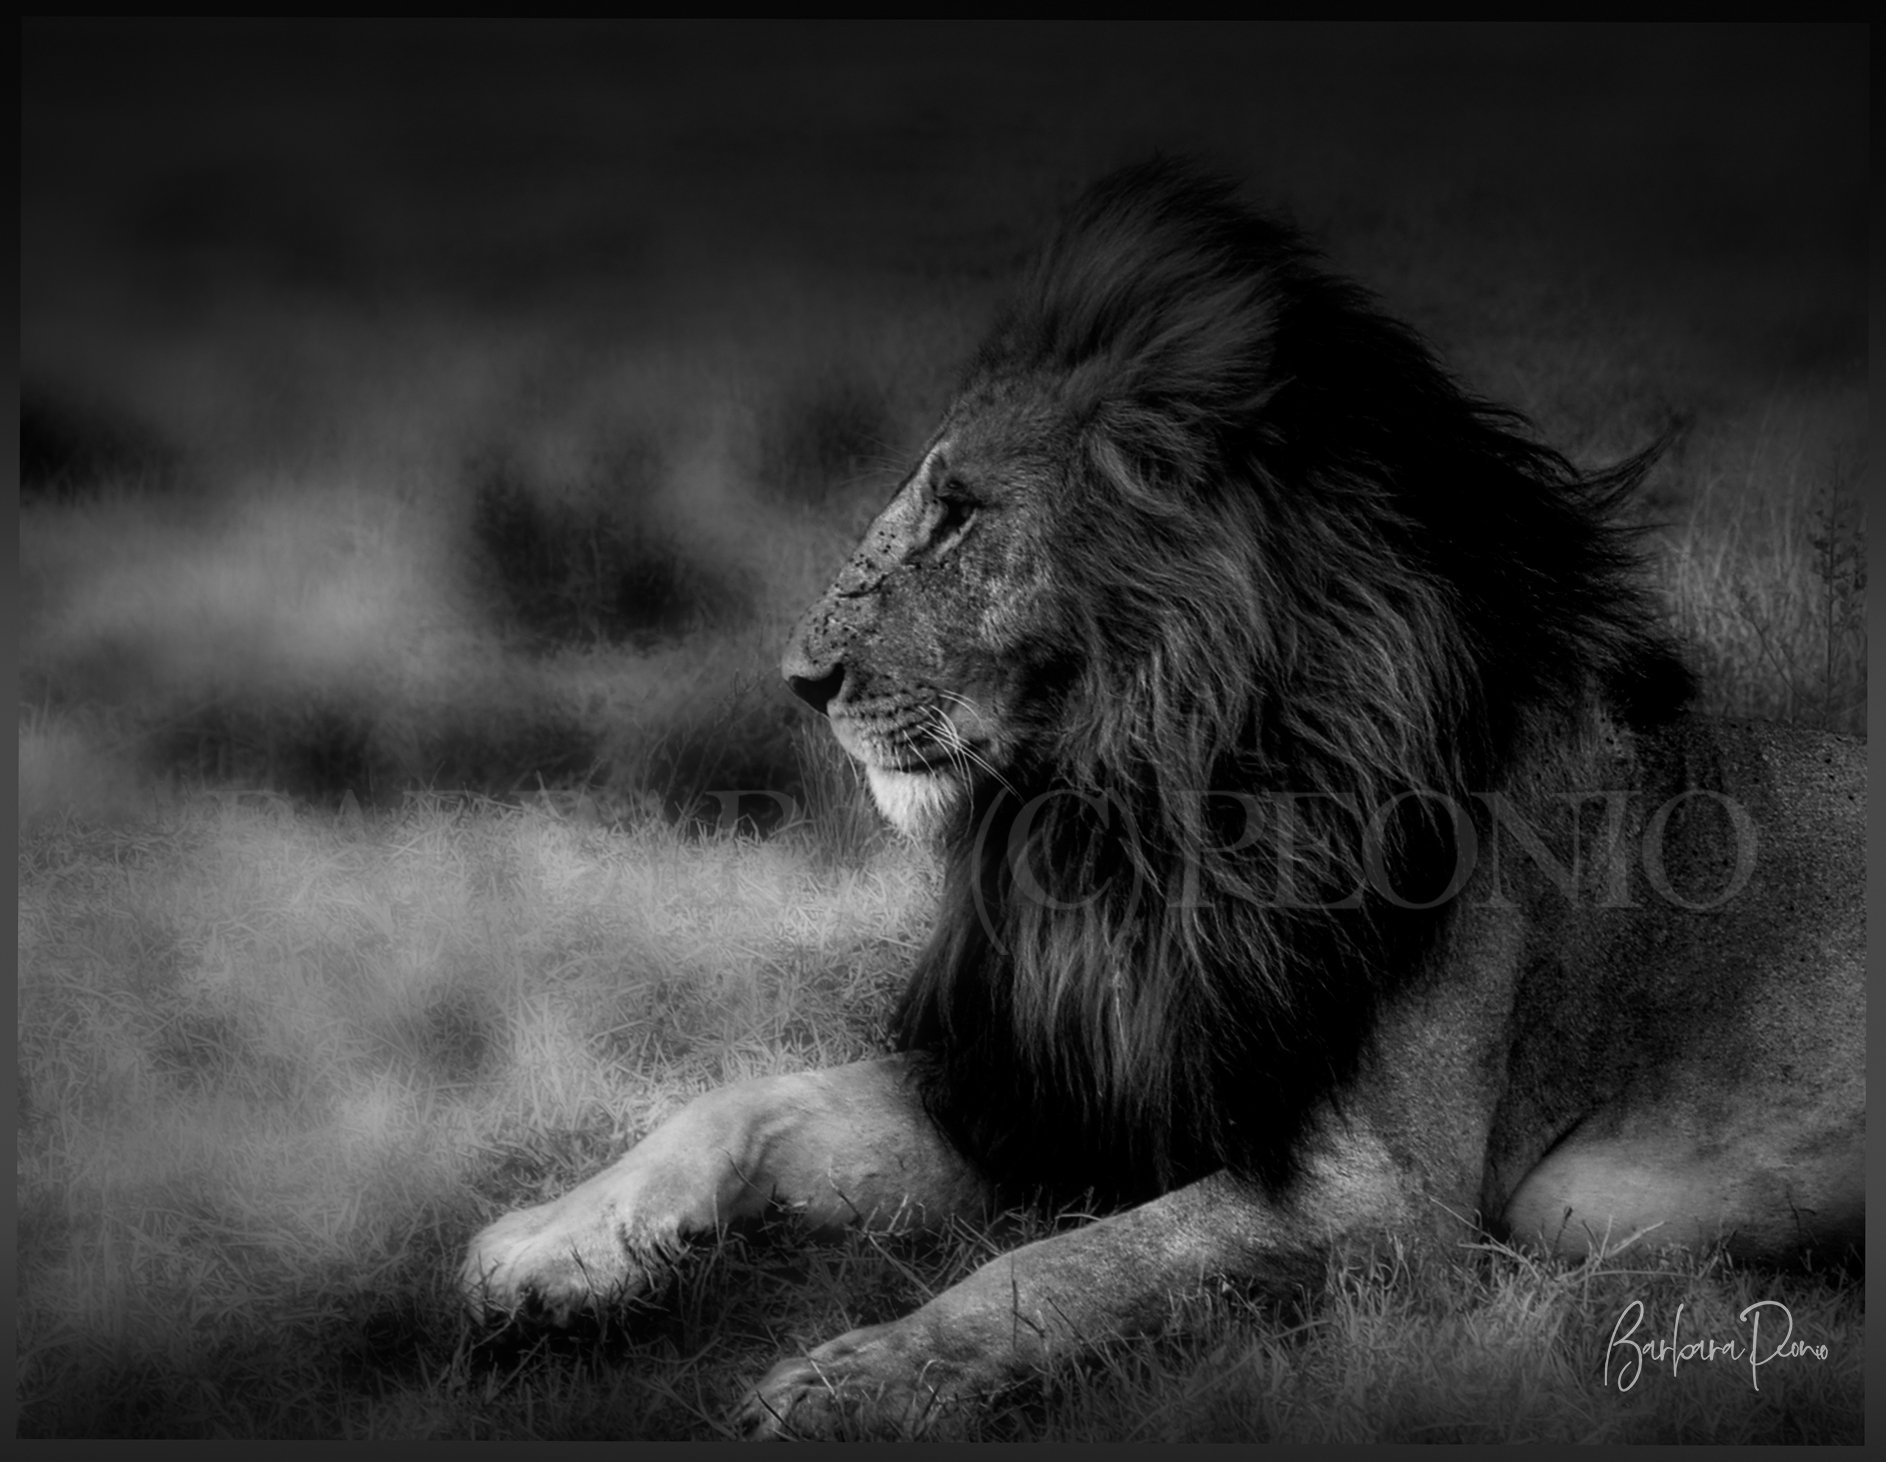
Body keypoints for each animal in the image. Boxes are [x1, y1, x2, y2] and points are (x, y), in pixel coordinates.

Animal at [461, 160, 1864, 1439]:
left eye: (959, 513)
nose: (800, 681)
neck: (1128, 814)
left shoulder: (1383, 1195)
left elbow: (1058, 1267)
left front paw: (859, 1378)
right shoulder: (1051, 1090)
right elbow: (750, 1095)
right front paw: (546, 1244)